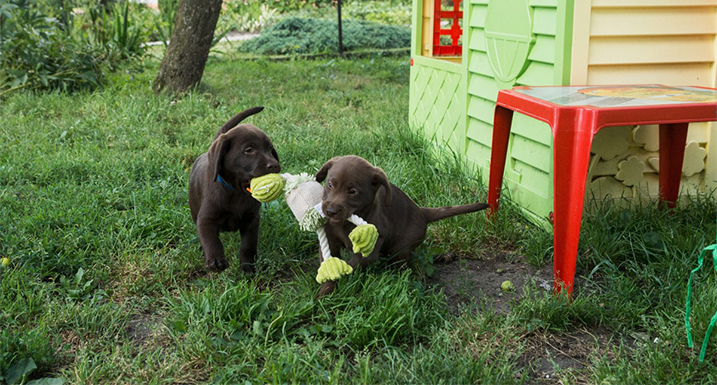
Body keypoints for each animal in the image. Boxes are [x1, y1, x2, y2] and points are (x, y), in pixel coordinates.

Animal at [187, 106, 280, 272]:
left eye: (270, 148)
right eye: (249, 150)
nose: (274, 165)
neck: (237, 191)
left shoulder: (252, 220)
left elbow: (248, 245)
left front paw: (248, 266)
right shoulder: (206, 219)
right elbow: (211, 240)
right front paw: (216, 260)